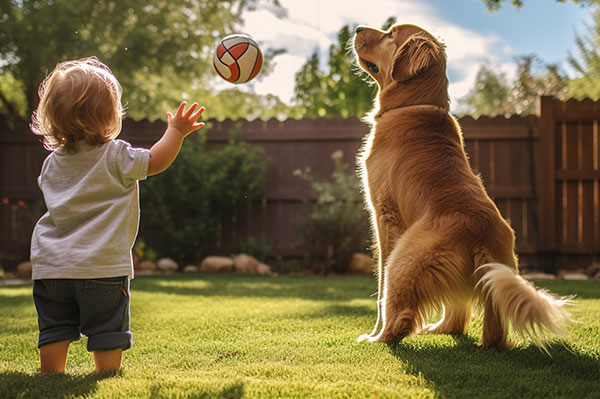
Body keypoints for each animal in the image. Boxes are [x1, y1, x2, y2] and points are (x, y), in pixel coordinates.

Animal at [352, 24, 572, 350]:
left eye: (391, 35)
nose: (356, 28)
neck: (414, 104)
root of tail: (479, 232)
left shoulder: (385, 217)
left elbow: (378, 291)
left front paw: (375, 330)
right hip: (498, 274)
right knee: (482, 328)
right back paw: (443, 330)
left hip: (404, 260)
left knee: (401, 315)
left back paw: (379, 338)